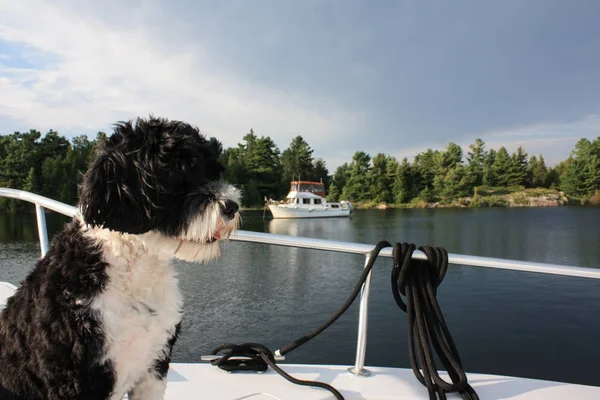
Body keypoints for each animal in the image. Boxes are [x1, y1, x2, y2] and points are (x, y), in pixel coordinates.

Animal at [0, 116, 239, 400]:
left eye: (214, 170)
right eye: (181, 169)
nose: (233, 207)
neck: (133, 268)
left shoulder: (154, 365)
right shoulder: (76, 379)